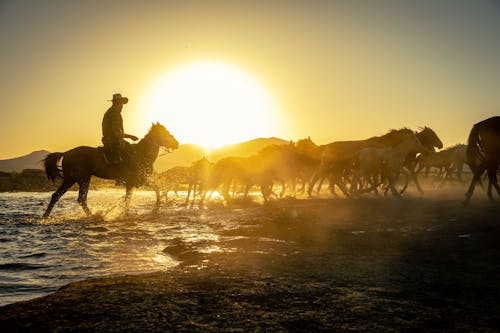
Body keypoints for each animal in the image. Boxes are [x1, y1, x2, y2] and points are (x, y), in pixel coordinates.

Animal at [42, 122, 180, 218]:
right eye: (166, 132)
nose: (177, 143)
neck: (142, 153)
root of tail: (66, 153)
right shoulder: (136, 180)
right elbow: (155, 189)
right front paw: (155, 208)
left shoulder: (133, 182)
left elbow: (129, 198)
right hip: (74, 178)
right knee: (65, 197)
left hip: (81, 179)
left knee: (76, 199)